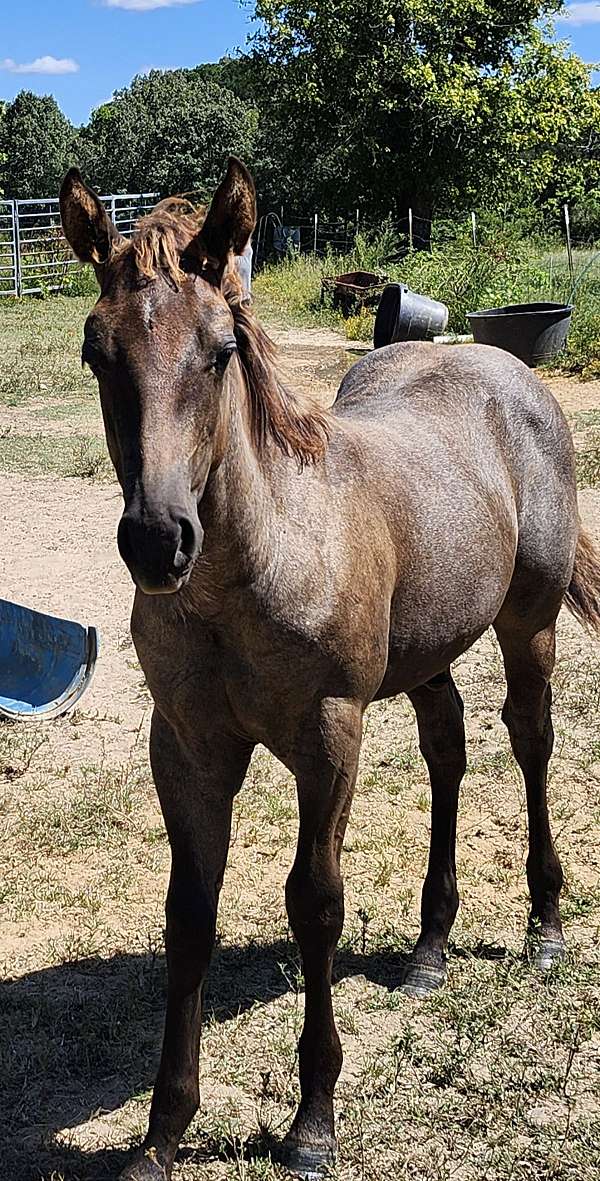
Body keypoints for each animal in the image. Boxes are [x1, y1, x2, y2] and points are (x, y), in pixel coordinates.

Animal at [59, 159, 600, 1181]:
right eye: (96, 353)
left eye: (221, 350)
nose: (157, 539)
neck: (250, 569)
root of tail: (502, 365)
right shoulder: (184, 748)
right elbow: (188, 913)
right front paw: (161, 1132)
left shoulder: (328, 734)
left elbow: (315, 903)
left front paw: (313, 1120)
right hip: (429, 649)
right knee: (447, 751)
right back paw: (430, 948)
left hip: (530, 622)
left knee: (531, 740)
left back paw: (545, 927)